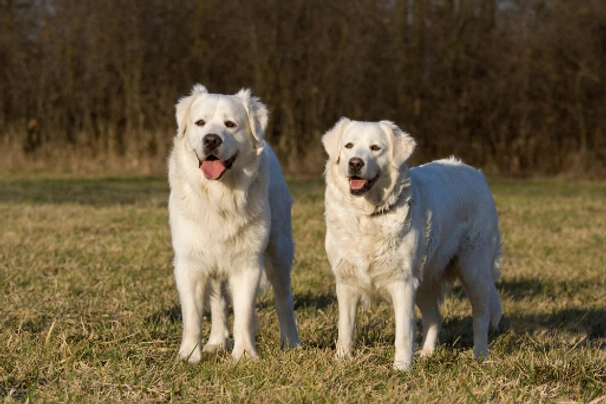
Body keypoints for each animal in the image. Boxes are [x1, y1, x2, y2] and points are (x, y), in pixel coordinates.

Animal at [169, 84, 302, 362]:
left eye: (230, 124)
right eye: (200, 123)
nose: (211, 140)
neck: (219, 196)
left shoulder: (247, 262)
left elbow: (243, 313)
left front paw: (244, 356)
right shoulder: (189, 262)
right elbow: (192, 317)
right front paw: (188, 356)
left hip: (279, 250)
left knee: (284, 298)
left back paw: (292, 343)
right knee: (218, 302)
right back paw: (217, 342)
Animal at [324, 117, 504, 370]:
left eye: (375, 148)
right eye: (348, 146)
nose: (355, 163)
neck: (369, 216)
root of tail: (476, 173)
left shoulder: (403, 283)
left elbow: (404, 333)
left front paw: (401, 369)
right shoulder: (346, 282)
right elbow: (346, 329)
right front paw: (342, 361)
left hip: (473, 270)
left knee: (480, 316)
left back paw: (479, 355)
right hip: (426, 278)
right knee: (435, 317)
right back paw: (427, 354)